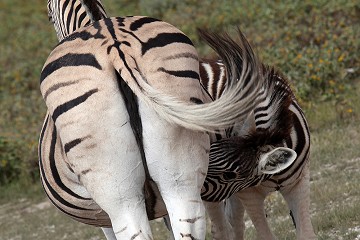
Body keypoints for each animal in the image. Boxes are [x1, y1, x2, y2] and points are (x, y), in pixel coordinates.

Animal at [40, 0, 276, 239]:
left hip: (118, 194)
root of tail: (114, 43)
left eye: (49, 16)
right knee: (196, 223)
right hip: (180, 175)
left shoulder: (102, 217)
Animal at [197, 54, 316, 238]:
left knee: (233, 222)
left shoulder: (298, 183)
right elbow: (265, 235)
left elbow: (307, 234)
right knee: (222, 228)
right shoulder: (249, 195)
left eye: (230, 174)